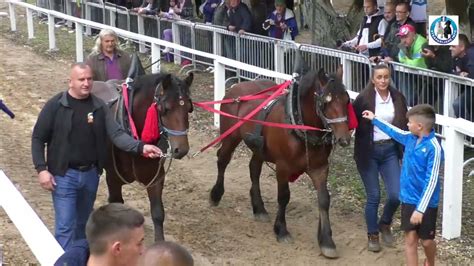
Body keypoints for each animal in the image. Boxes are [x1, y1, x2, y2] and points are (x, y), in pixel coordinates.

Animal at [103, 71, 193, 241]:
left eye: (189, 108)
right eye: (165, 109)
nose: (181, 149)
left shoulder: (155, 178)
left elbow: (158, 213)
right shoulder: (113, 179)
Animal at [211, 68, 352, 258]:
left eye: (347, 99)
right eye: (326, 101)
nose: (344, 138)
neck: (299, 124)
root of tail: (237, 87)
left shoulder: (320, 168)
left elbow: (324, 199)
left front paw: (327, 241)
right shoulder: (283, 166)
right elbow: (284, 196)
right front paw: (281, 230)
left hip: (259, 149)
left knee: (254, 168)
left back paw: (259, 208)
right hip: (231, 136)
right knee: (223, 160)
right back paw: (216, 194)